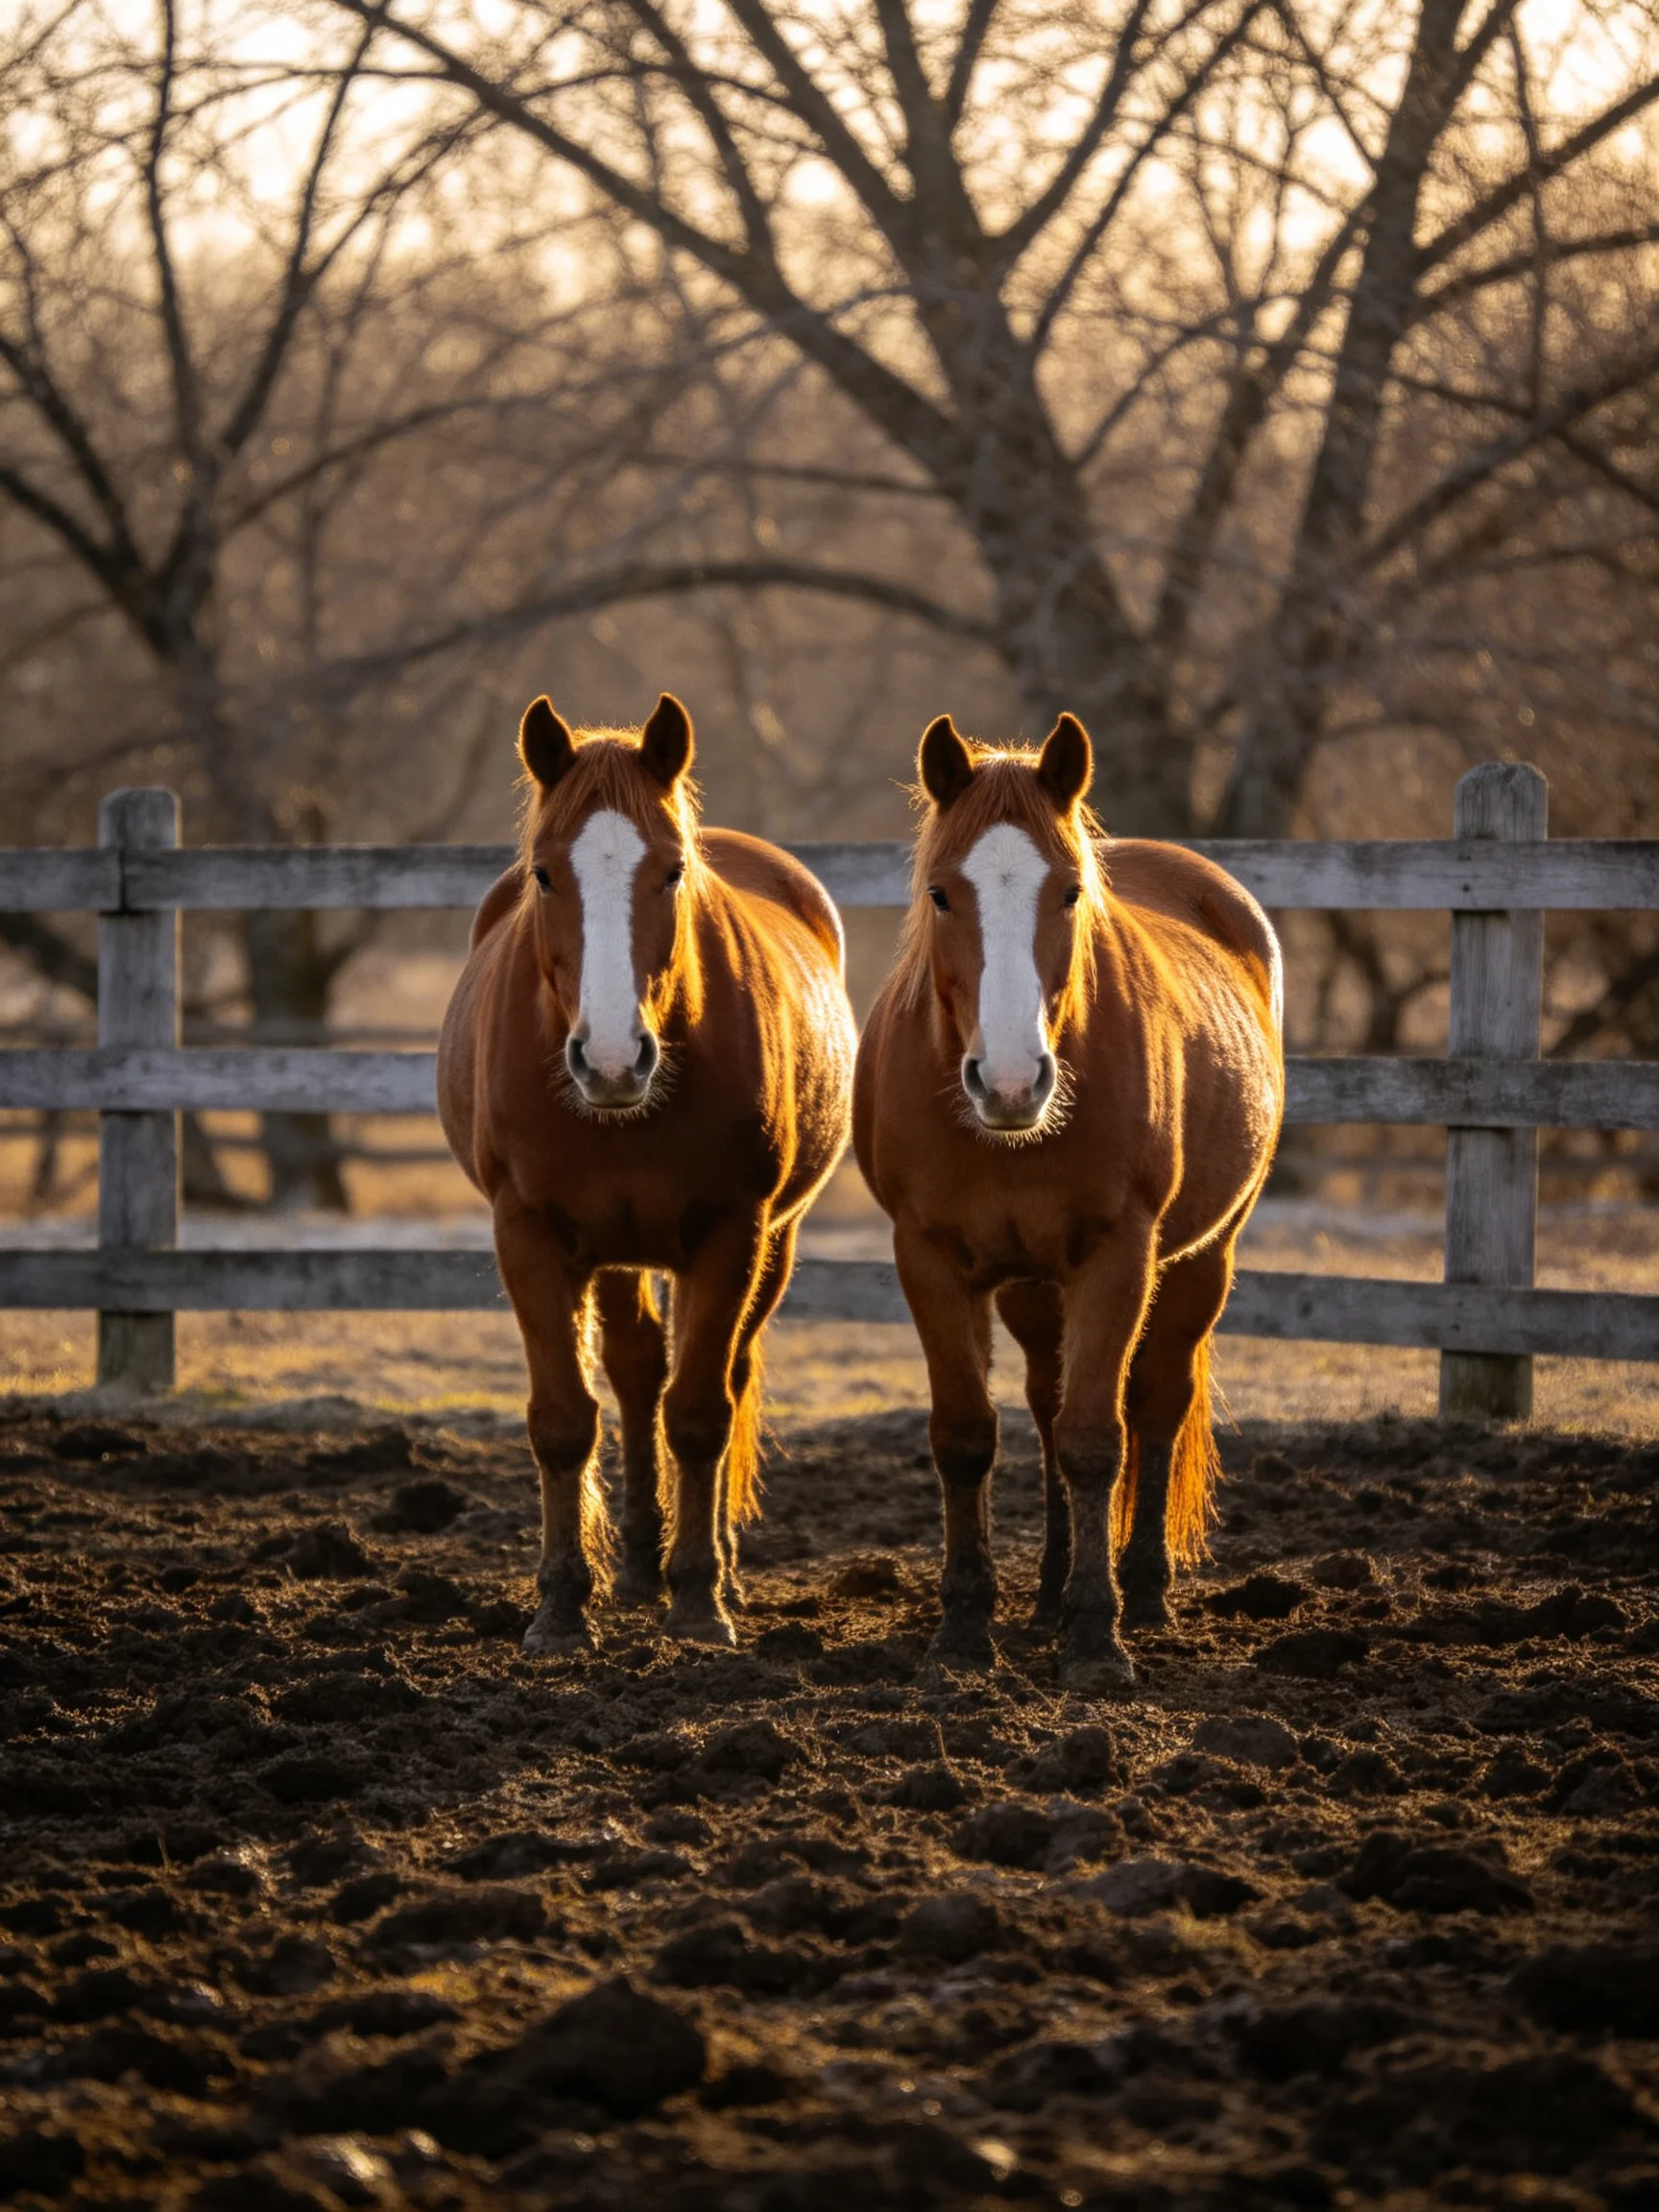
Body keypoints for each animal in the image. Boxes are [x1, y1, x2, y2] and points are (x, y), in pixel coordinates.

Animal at [438, 692, 856, 1651]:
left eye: (671, 872)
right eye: (545, 874)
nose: (612, 1060)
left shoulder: (733, 1232)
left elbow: (700, 1413)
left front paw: (699, 1600)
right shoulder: (529, 1235)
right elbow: (565, 1421)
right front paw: (561, 1607)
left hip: (767, 1245)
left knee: (714, 1378)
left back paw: (706, 1573)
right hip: (614, 1251)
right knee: (633, 1375)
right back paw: (632, 1567)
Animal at [853, 711, 1283, 1690]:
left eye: (1071, 892)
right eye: (941, 893)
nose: (1012, 1082)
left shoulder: (1118, 1257)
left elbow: (1097, 1437)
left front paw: (1096, 1635)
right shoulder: (930, 1259)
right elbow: (969, 1436)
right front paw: (965, 1627)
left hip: (1202, 1260)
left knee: (1156, 1403)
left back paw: (1143, 1590)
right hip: (1029, 1287)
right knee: (1045, 1409)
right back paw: (1047, 1593)